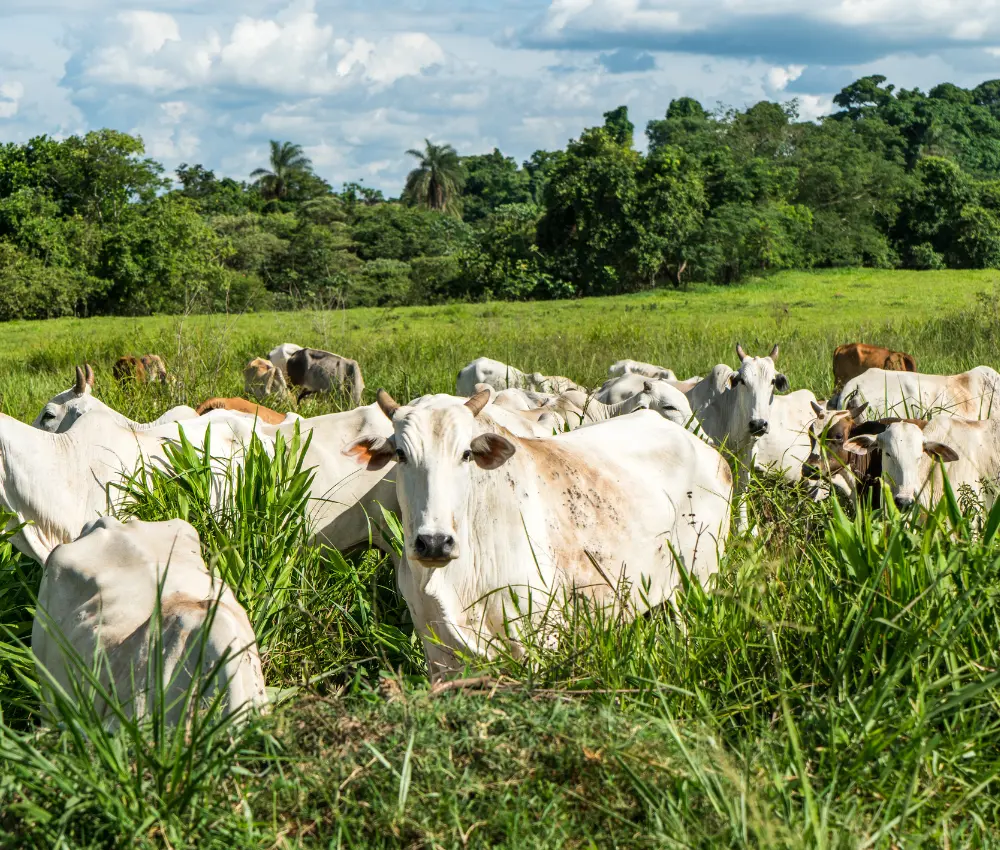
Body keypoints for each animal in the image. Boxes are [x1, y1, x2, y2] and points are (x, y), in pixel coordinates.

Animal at [348, 390, 732, 676]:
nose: (434, 542)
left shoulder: (538, 643)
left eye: (467, 454)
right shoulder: (438, 651)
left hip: (701, 581)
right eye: (401, 454)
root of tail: (709, 452)